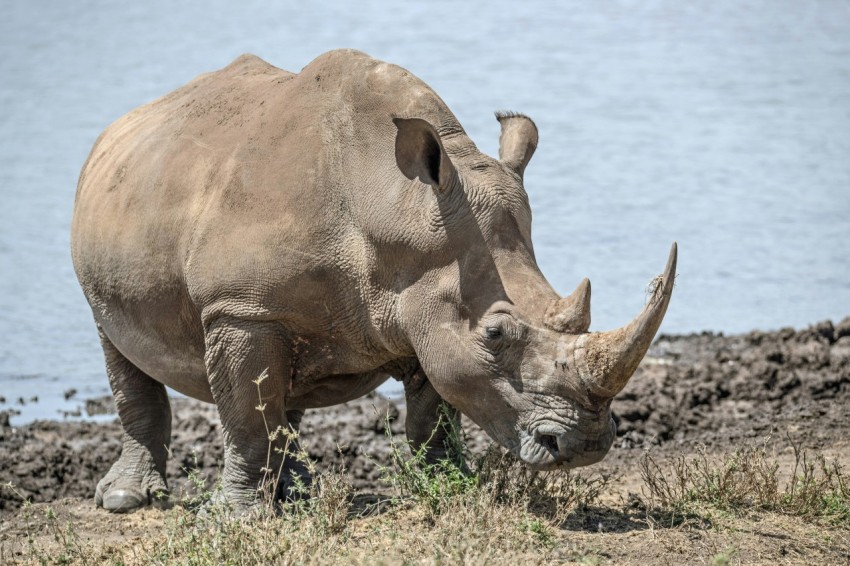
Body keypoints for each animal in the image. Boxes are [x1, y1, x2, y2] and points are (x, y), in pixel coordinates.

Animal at [71, 49, 676, 513]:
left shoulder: (427, 299)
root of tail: (116, 128)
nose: (586, 445)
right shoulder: (239, 308)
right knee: (118, 346)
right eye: (495, 335)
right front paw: (232, 517)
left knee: (287, 383)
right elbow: (245, 415)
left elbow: (435, 411)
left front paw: (448, 485)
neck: (392, 205)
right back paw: (127, 501)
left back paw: (298, 494)